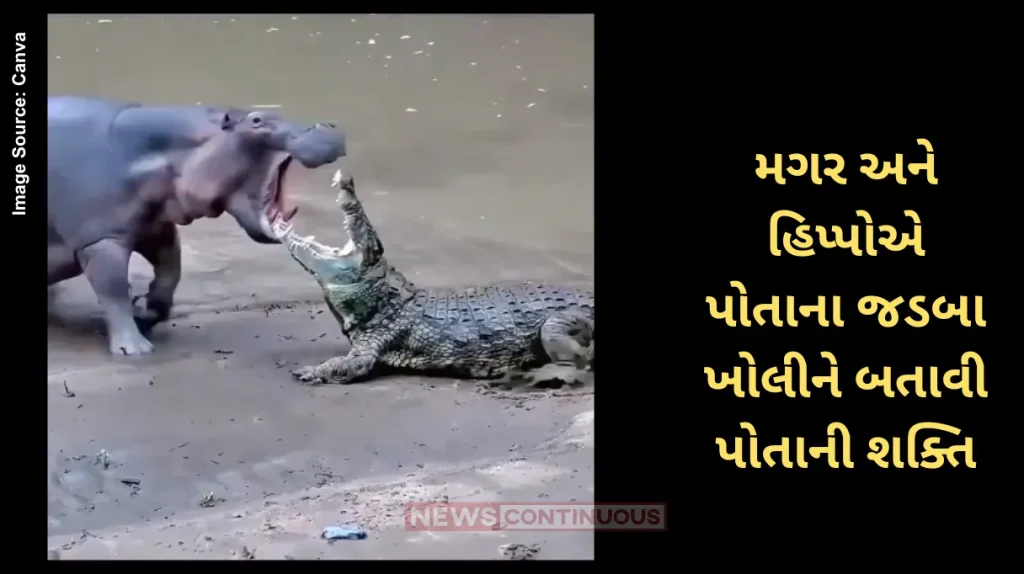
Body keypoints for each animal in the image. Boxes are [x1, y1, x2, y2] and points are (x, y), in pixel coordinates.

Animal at [47, 96, 346, 356]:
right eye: (257, 120)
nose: (327, 127)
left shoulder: (155, 228)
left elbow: (169, 275)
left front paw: (145, 314)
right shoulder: (99, 241)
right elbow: (114, 292)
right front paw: (135, 350)